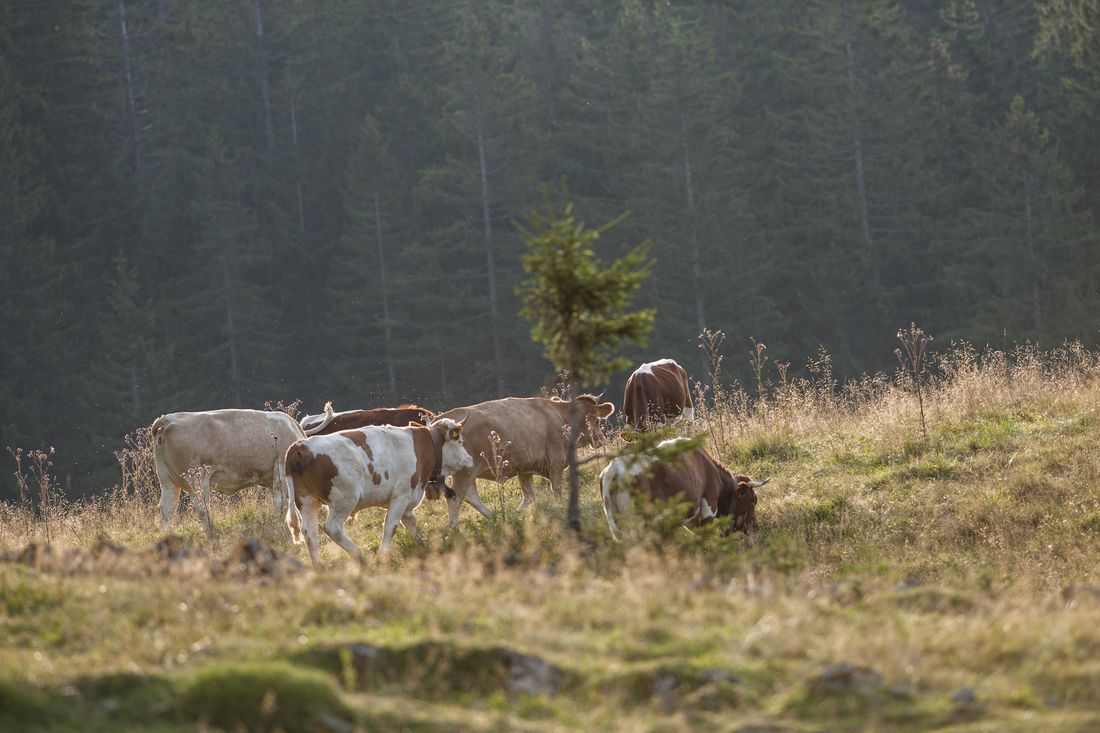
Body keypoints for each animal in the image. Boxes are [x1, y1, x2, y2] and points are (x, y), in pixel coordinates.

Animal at [151, 409, 305, 532]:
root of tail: (168, 418)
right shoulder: (280, 469)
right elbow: (281, 502)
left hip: (167, 479)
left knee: (167, 508)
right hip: (196, 477)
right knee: (201, 506)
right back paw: (210, 529)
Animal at [284, 417, 473, 568]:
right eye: (460, 441)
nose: (470, 459)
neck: (421, 446)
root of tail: (301, 445)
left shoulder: (408, 498)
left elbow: (411, 521)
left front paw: (420, 543)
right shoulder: (401, 495)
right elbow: (391, 526)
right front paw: (382, 555)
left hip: (307, 501)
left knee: (309, 533)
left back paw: (319, 566)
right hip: (345, 500)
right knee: (332, 528)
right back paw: (359, 556)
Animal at [434, 395, 616, 527]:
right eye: (595, 419)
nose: (601, 439)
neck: (560, 417)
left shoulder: (524, 469)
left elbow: (529, 497)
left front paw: (517, 514)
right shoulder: (556, 461)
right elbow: (556, 490)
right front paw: (560, 507)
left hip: (467, 472)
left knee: (471, 496)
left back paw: (494, 518)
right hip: (464, 472)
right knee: (456, 499)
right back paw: (455, 530)